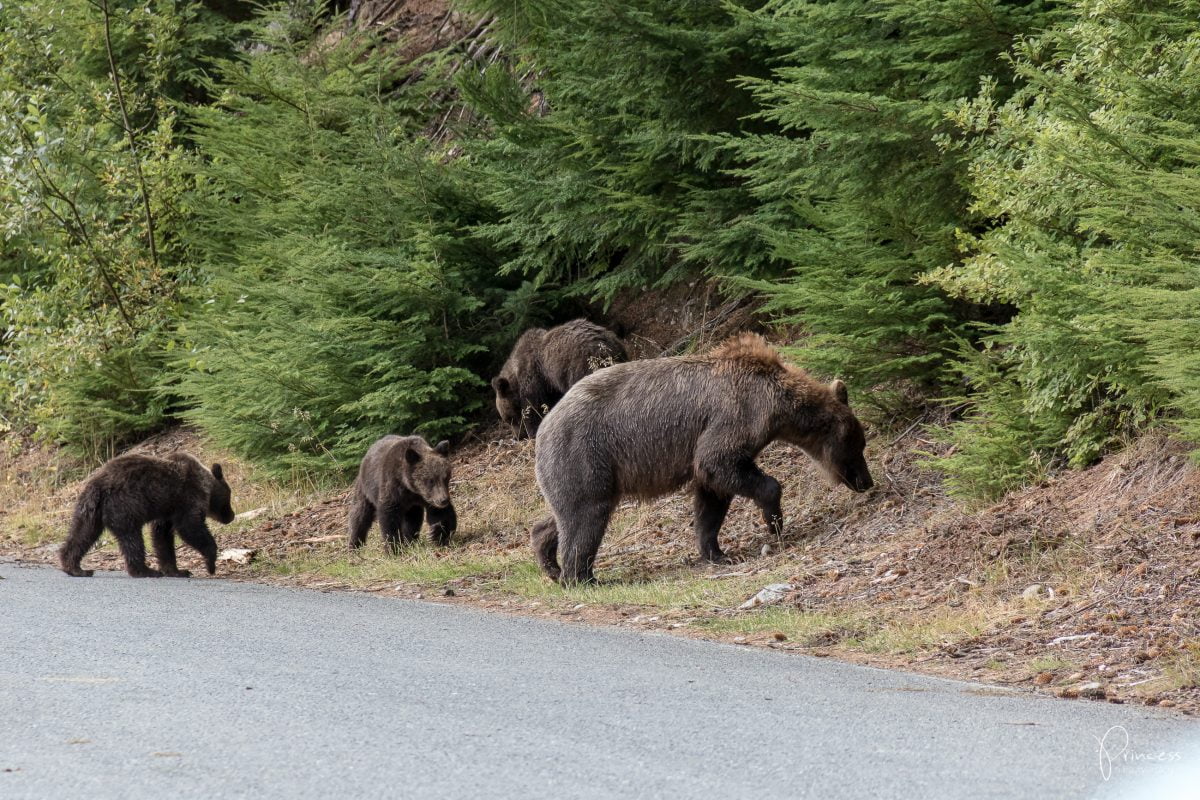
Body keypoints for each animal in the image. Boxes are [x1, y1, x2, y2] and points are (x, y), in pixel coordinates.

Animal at [60, 453, 236, 578]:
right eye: (228, 497)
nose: (231, 516)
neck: (206, 485)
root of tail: (98, 483)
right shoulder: (186, 498)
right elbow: (190, 527)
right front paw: (210, 564)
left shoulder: (167, 510)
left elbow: (162, 536)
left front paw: (177, 570)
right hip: (125, 505)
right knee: (132, 539)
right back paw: (145, 570)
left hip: (90, 509)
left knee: (82, 533)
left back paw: (75, 568)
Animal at [489, 316, 628, 438]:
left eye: (509, 418)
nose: (517, 436)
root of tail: (606, 345)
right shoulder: (550, 385)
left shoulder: (533, 379)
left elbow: (533, 408)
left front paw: (533, 431)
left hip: (580, 366)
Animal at [535, 335, 873, 585]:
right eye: (859, 445)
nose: (866, 481)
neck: (776, 406)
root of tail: (543, 426)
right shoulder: (736, 414)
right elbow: (718, 463)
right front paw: (774, 521)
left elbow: (712, 495)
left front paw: (716, 551)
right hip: (586, 452)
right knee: (587, 515)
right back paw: (581, 577)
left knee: (565, 513)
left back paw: (550, 561)